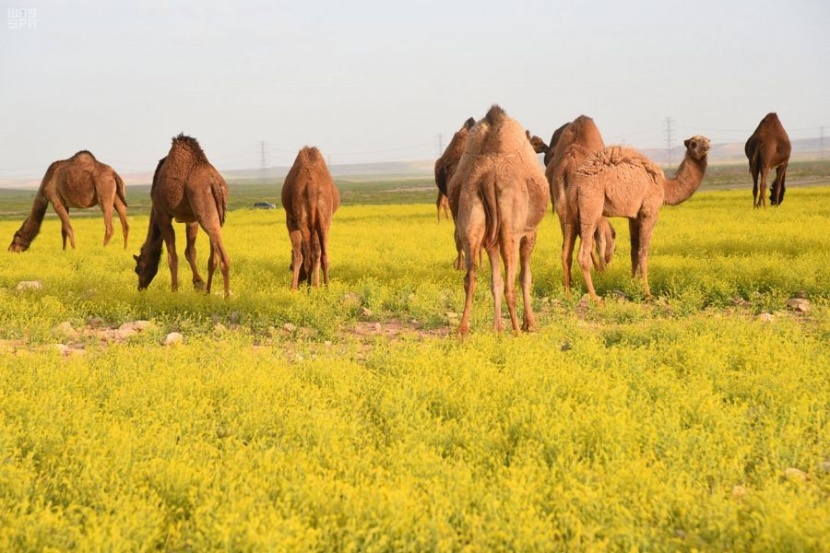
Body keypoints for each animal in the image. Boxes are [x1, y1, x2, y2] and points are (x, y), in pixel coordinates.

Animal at [134, 133, 231, 296]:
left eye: (139, 268)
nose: (140, 287)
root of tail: (214, 183)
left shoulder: (162, 215)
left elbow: (172, 257)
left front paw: (174, 290)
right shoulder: (191, 219)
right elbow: (190, 251)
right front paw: (199, 284)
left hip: (203, 207)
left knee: (224, 257)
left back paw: (226, 297)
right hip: (217, 213)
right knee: (213, 256)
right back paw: (208, 292)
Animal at [282, 144, 342, 292]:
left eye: (290, 267)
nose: (299, 282)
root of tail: (312, 185)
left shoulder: (291, 220)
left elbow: (299, 255)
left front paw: (295, 288)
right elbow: (316, 252)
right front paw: (316, 285)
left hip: (303, 220)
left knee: (308, 256)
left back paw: (309, 289)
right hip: (324, 220)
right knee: (322, 255)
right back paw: (324, 288)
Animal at [456, 105, 552, 334]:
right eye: (536, 142)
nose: (545, 147)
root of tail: (488, 177)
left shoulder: (490, 242)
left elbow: (495, 281)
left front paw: (497, 328)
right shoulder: (530, 233)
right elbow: (525, 278)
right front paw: (530, 324)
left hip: (470, 215)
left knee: (470, 276)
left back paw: (462, 329)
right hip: (511, 230)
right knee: (511, 284)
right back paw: (517, 331)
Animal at [576, 136, 712, 300]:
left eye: (707, 140)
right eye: (693, 143)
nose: (706, 146)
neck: (665, 187)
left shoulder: (634, 216)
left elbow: (634, 251)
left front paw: (632, 286)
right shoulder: (649, 212)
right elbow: (643, 251)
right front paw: (647, 292)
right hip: (591, 205)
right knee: (584, 253)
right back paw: (595, 298)